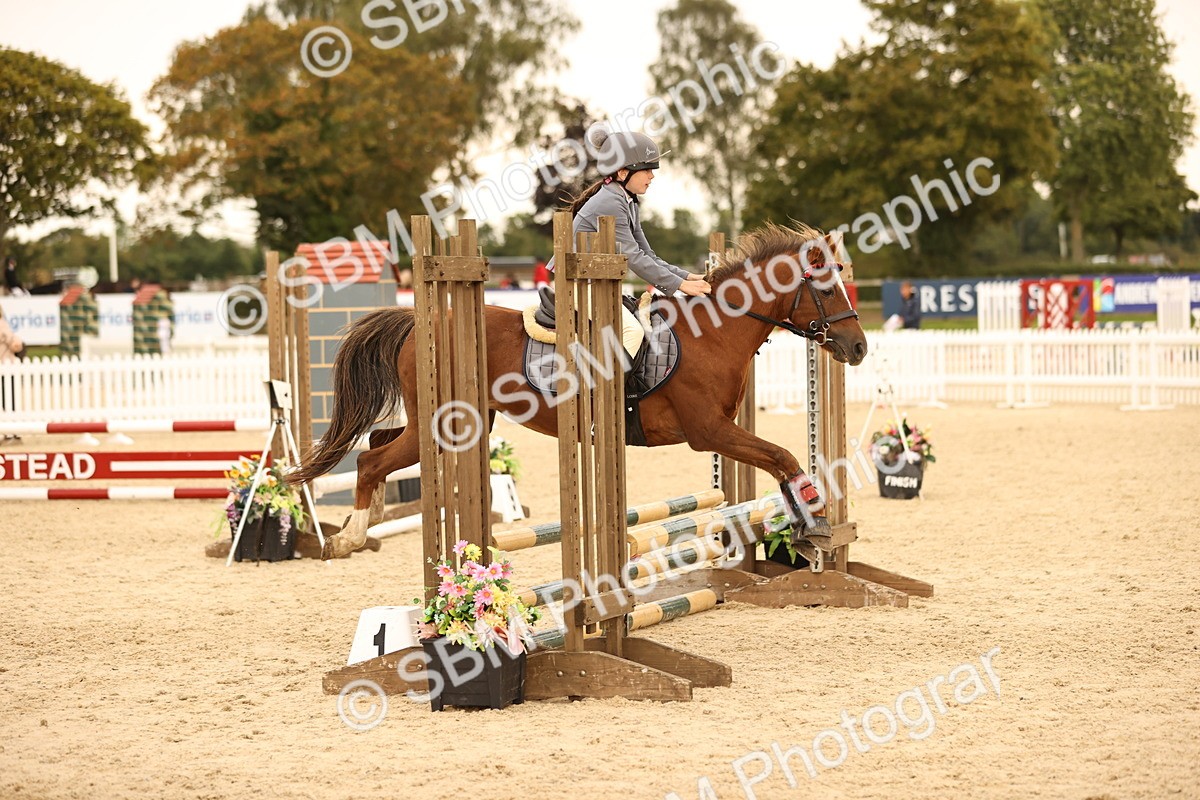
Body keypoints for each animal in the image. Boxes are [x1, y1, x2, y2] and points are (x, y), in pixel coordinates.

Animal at [291, 223, 868, 559]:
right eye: (824, 287)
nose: (858, 347)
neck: (714, 330)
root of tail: (419, 323)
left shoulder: (721, 431)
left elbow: (778, 461)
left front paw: (808, 526)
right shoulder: (709, 432)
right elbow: (783, 456)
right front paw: (816, 521)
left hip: (455, 423)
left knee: (375, 445)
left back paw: (365, 524)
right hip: (443, 423)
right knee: (372, 460)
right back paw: (348, 537)